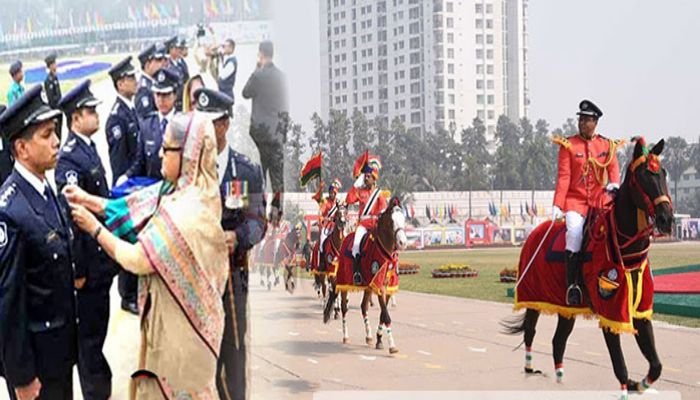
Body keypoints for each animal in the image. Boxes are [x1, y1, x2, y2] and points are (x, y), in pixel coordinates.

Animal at [324, 197, 408, 354]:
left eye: (403, 219)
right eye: (392, 222)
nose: (403, 242)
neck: (385, 253)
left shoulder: (384, 286)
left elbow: (382, 314)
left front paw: (379, 339)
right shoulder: (380, 286)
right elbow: (386, 316)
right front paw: (392, 345)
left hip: (367, 286)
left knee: (364, 307)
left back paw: (369, 336)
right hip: (344, 282)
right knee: (344, 308)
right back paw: (345, 336)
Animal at [500, 138, 676, 400]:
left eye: (663, 173)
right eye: (643, 177)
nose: (667, 219)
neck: (626, 252)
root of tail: (534, 233)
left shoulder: (640, 311)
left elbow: (656, 364)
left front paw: (639, 384)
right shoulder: (610, 310)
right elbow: (620, 364)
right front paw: (628, 385)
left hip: (565, 306)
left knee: (558, 341)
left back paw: (560, 379)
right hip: (532, 296)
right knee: (530, 331)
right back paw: (530, 369)